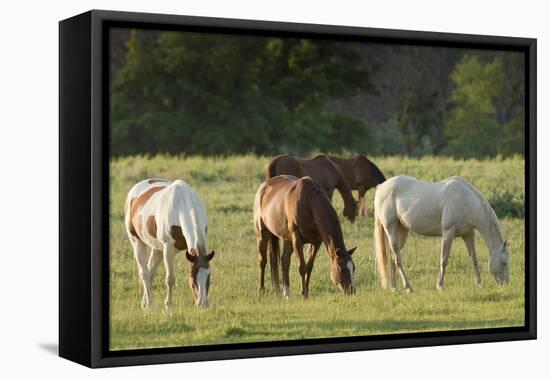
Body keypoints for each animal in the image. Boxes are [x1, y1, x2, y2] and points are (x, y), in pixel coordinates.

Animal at [125, 178, 216, 308]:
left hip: (157, 248)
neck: (183, 205)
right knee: (145, 273)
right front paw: (168, 305)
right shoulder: (168, 250)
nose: (202, 304)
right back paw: (150, 305)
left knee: (150, 271)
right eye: (192, 279)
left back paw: (145, 303)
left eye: (209, 276)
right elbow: (170, 279)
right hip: (137, 242)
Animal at [376, 175, 512, 292]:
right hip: (391, 228)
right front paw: (440, 286)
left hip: (402, 230)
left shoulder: (468, 234)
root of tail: (381, 187)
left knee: (392, 257)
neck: (465, 200)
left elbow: (474, 259)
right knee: (397, 258)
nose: (505, 284)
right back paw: (408, 287)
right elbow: (444, 260)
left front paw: (479, 284)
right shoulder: (448, 232)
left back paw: (394, 287)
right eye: (504, 262)